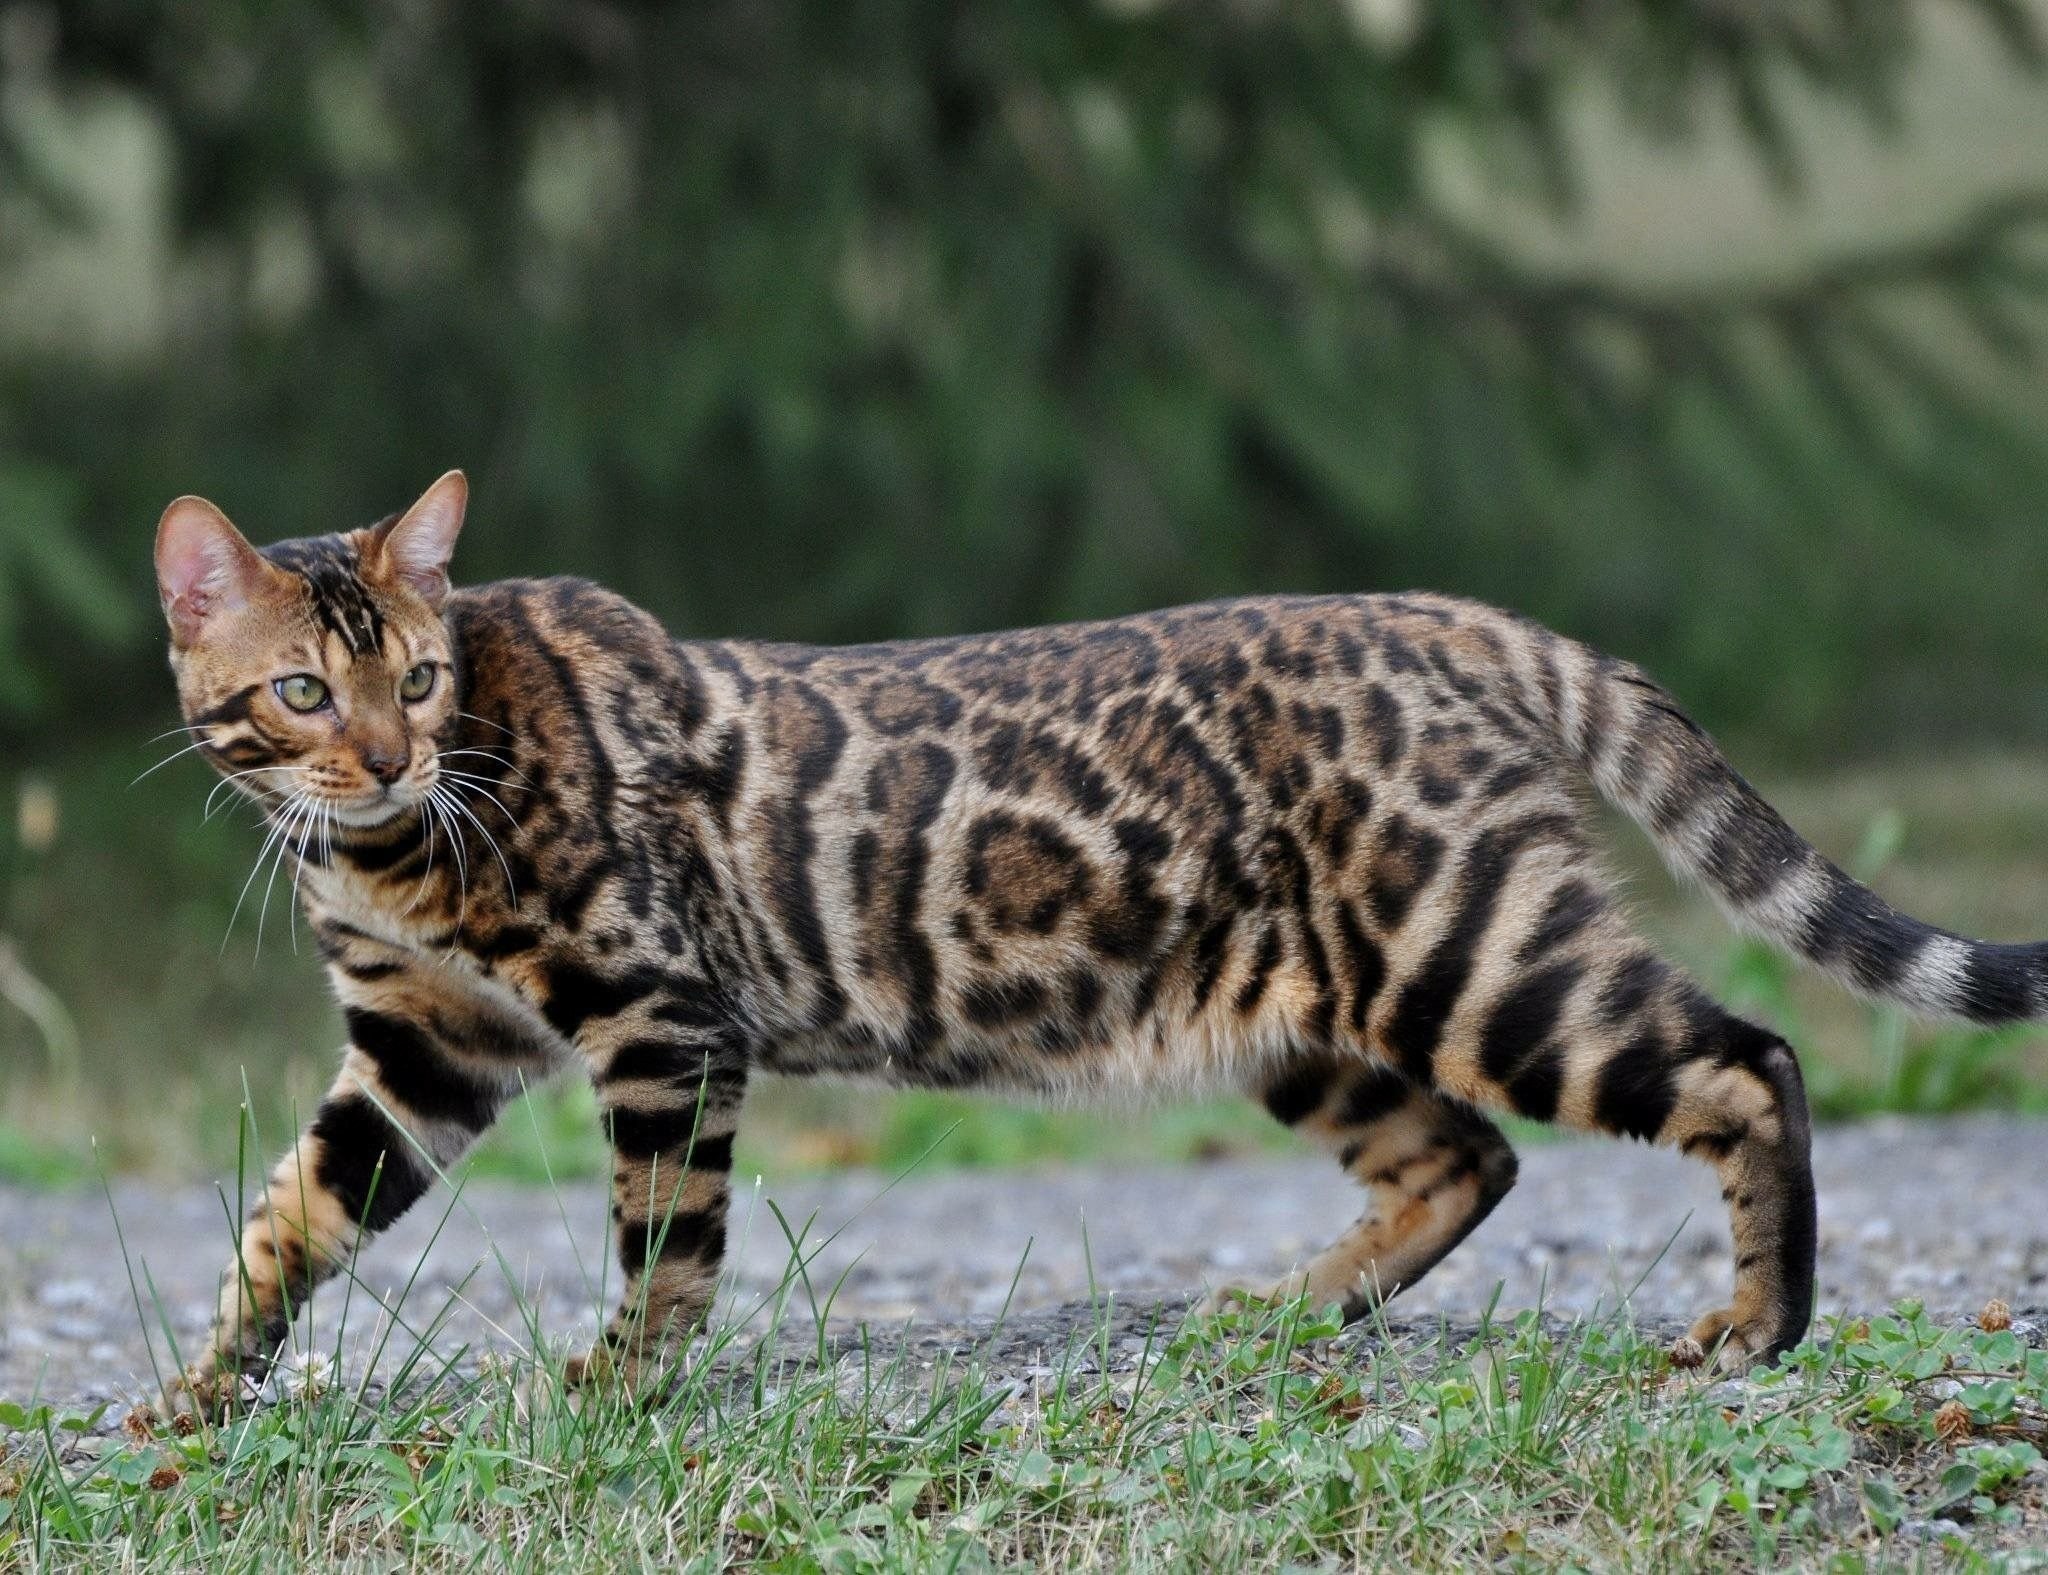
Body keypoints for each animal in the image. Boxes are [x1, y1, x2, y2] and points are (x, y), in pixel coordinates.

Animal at [151, 471, 2039, 1409]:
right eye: (306, 691)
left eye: (419, 677)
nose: (386, 755)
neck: (392, 852)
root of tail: (1438, 614)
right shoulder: (420, 1046)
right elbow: (284, 1224)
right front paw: (195, 1399)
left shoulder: (659, 1014)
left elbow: (664, 1234)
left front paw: (620, 1387)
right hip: (1306, 1011)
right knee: (1466, 1157)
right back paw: (1281, 1316)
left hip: (1470, 948)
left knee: (1744, 1061)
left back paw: (1758, 1325)